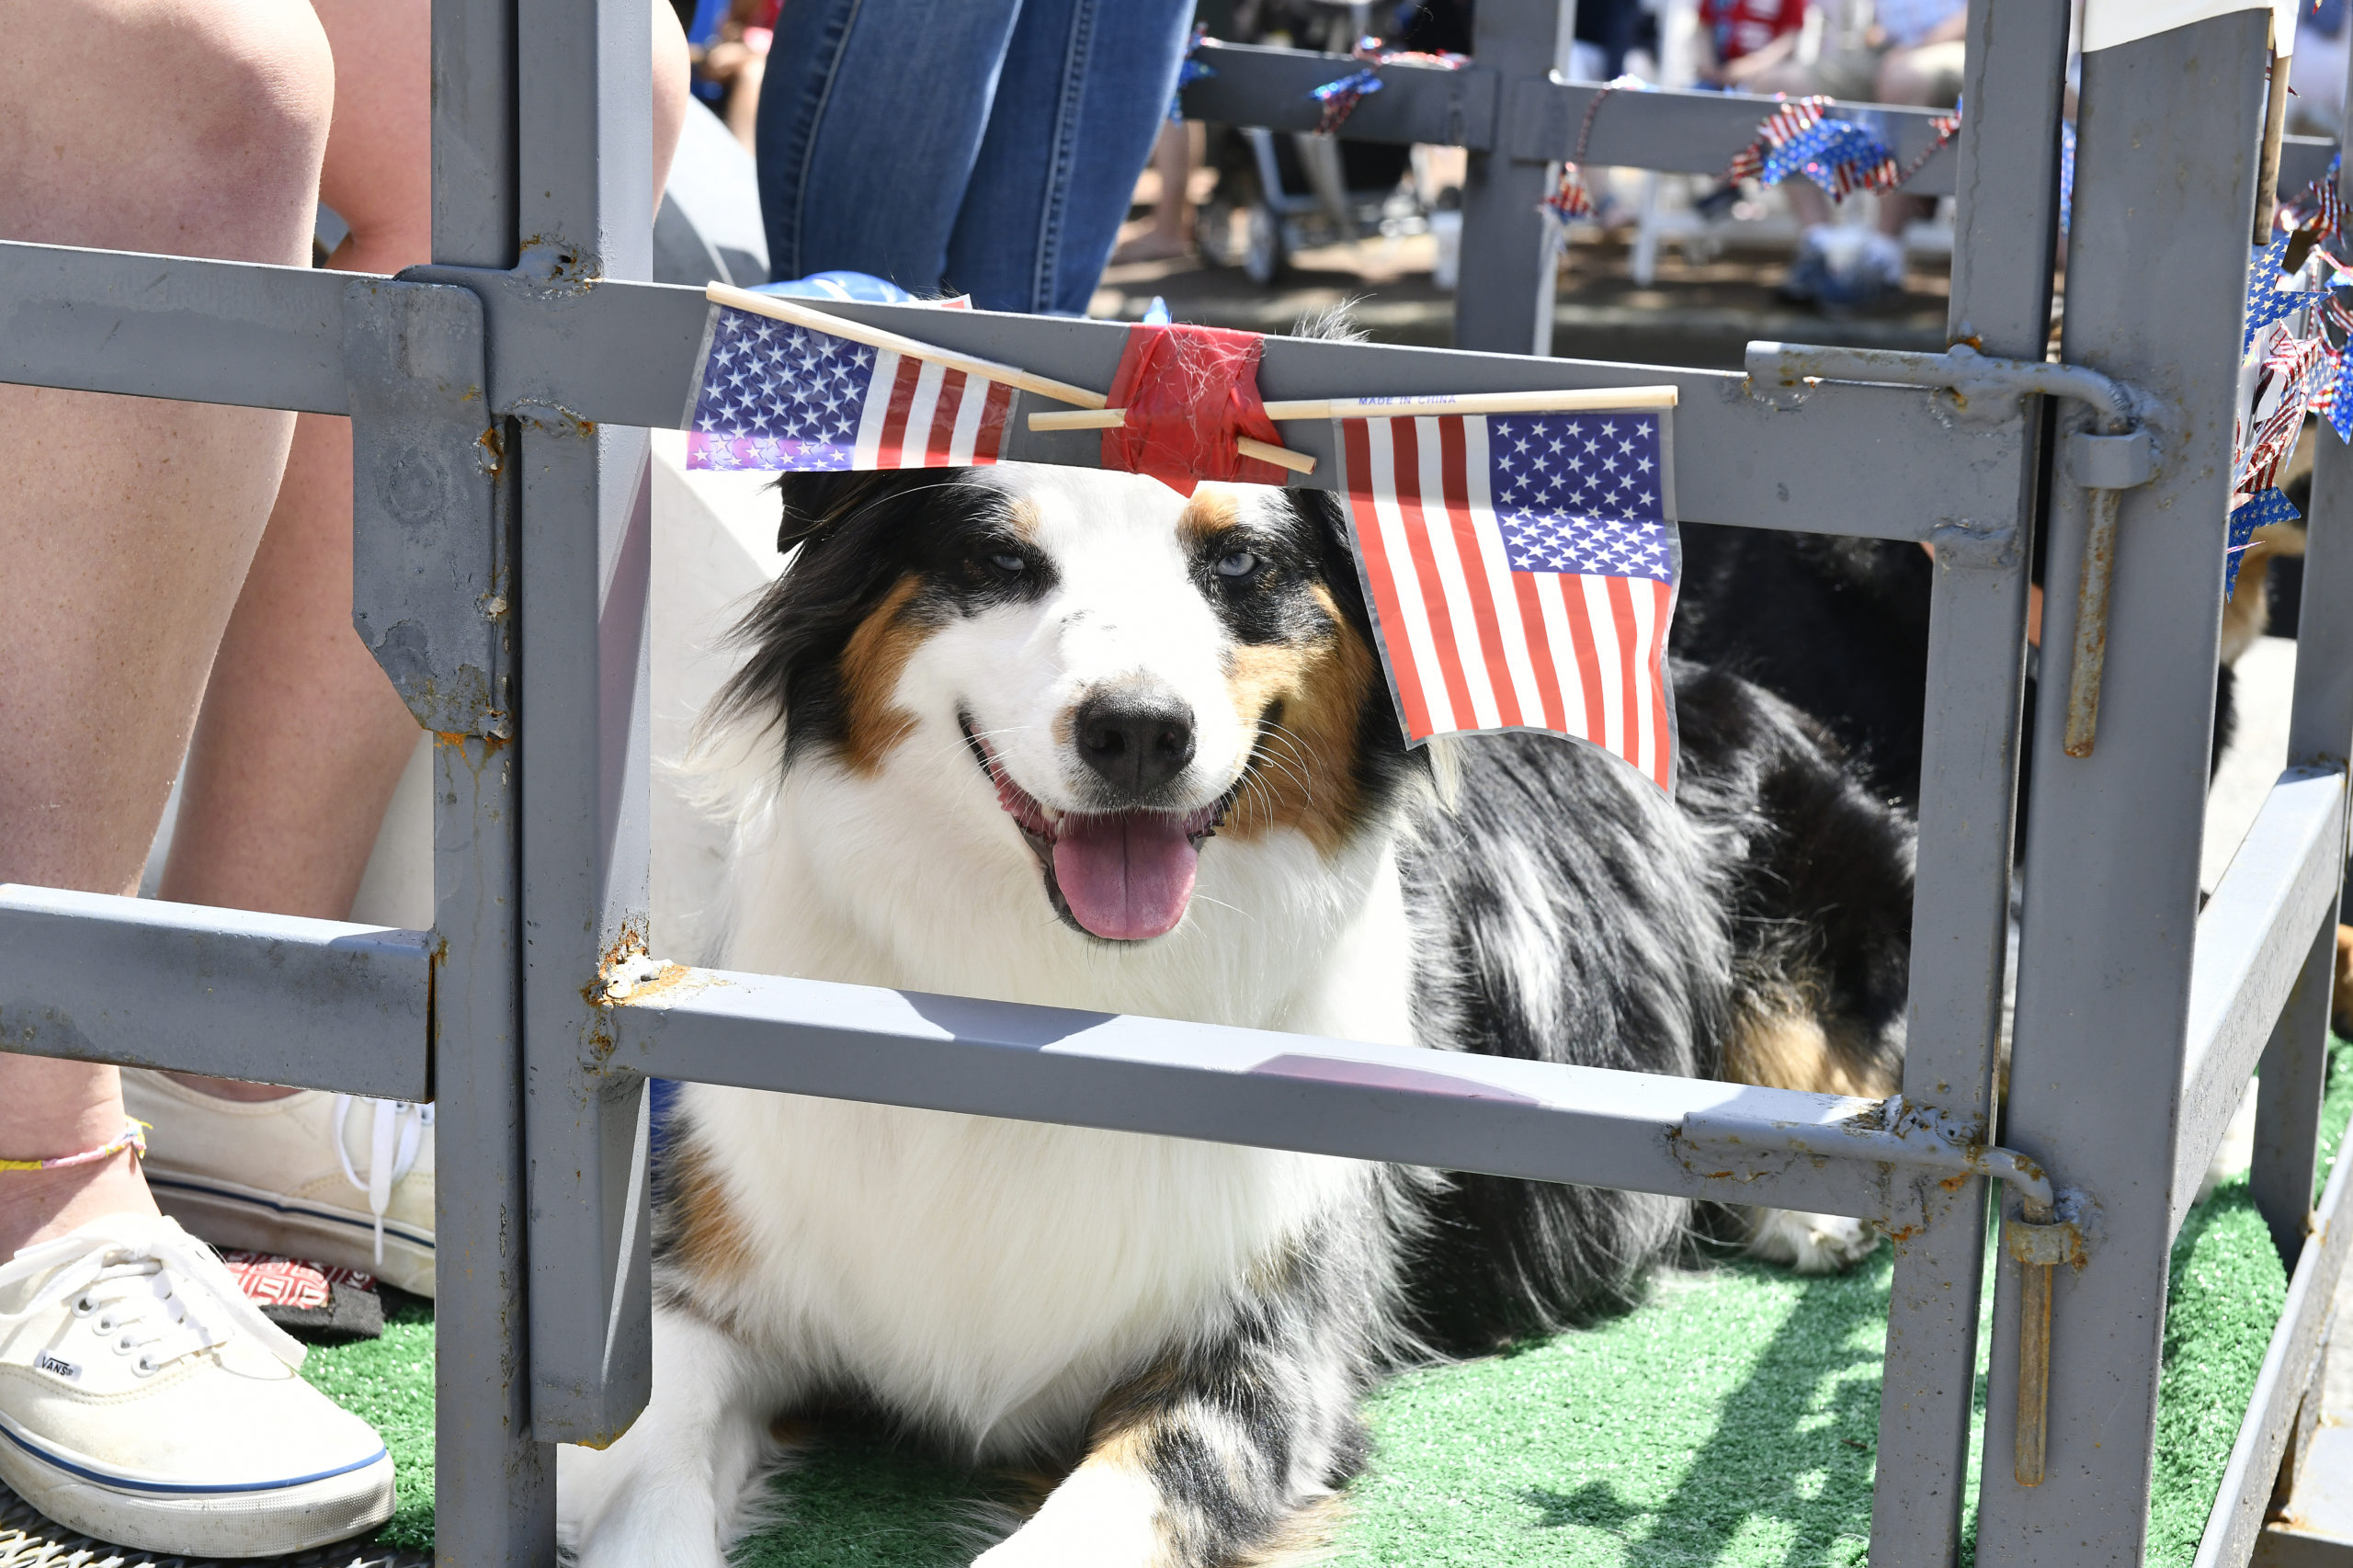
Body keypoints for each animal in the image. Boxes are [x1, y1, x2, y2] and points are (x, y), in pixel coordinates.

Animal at [560, 459, 1919, 1553]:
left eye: (1239, 563)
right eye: (1002, 559)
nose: (1137, 732)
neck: (1044, 1008)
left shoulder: (1269, 1353)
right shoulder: (716, 1278)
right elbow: (641, 1476)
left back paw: (1808, 1197)